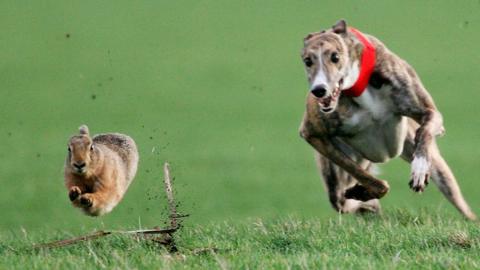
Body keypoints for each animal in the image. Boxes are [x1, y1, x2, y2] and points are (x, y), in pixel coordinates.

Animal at [300, 20, 476, 220]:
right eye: (307, 61)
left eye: (335, 57)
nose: (319, 90)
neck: (359, 84)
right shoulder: (312, 132)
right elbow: (369, 179)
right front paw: (364, 192)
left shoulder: (430, 113)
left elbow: (425, 130)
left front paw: (419, 168)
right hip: (342, 172)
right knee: (345, 199)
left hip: (435, 166)